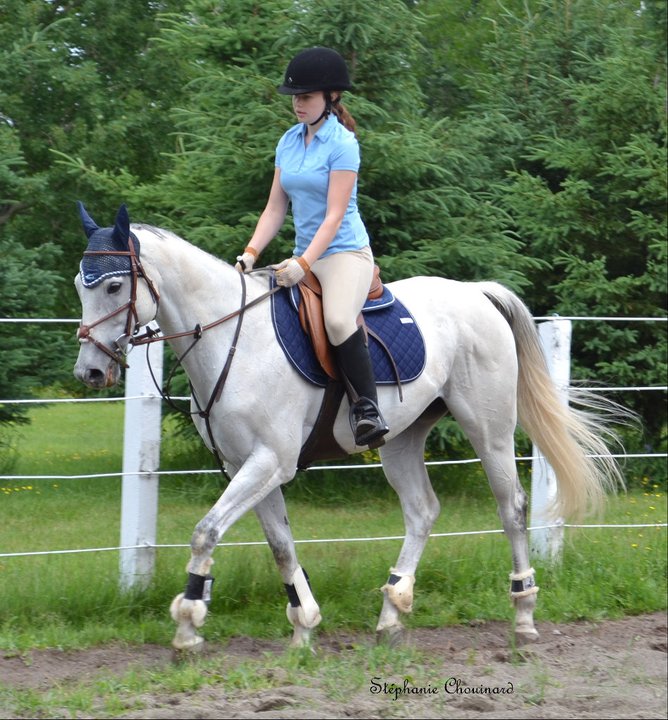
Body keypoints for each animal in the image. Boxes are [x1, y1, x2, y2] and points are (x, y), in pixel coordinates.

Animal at [73, 203, 623, 652]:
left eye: (115, 285)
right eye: (81, 286)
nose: (90, 373)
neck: (233, 337)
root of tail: (476, 294)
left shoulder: (269, 461)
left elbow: (206, 532)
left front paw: (188, 624)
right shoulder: (244, 466)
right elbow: (280, 546)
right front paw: (303, 627)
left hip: (487, 429)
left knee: (511, 507)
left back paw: (524, 615)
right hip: (400, 439)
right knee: (422, 511)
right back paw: (392, 612)